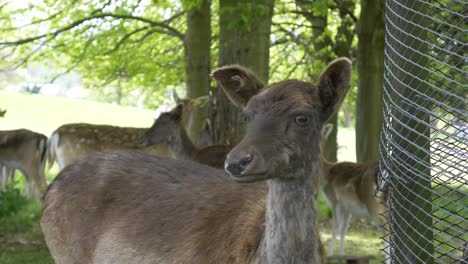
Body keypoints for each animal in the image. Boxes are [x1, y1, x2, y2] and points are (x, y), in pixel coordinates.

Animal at [318, 124, 388, 260]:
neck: (326, 175)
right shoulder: (347, 207)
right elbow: (343, 230)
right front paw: (342, 255)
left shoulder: (335, 200)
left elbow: (335, 227)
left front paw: (329, 256)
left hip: (373, 205)